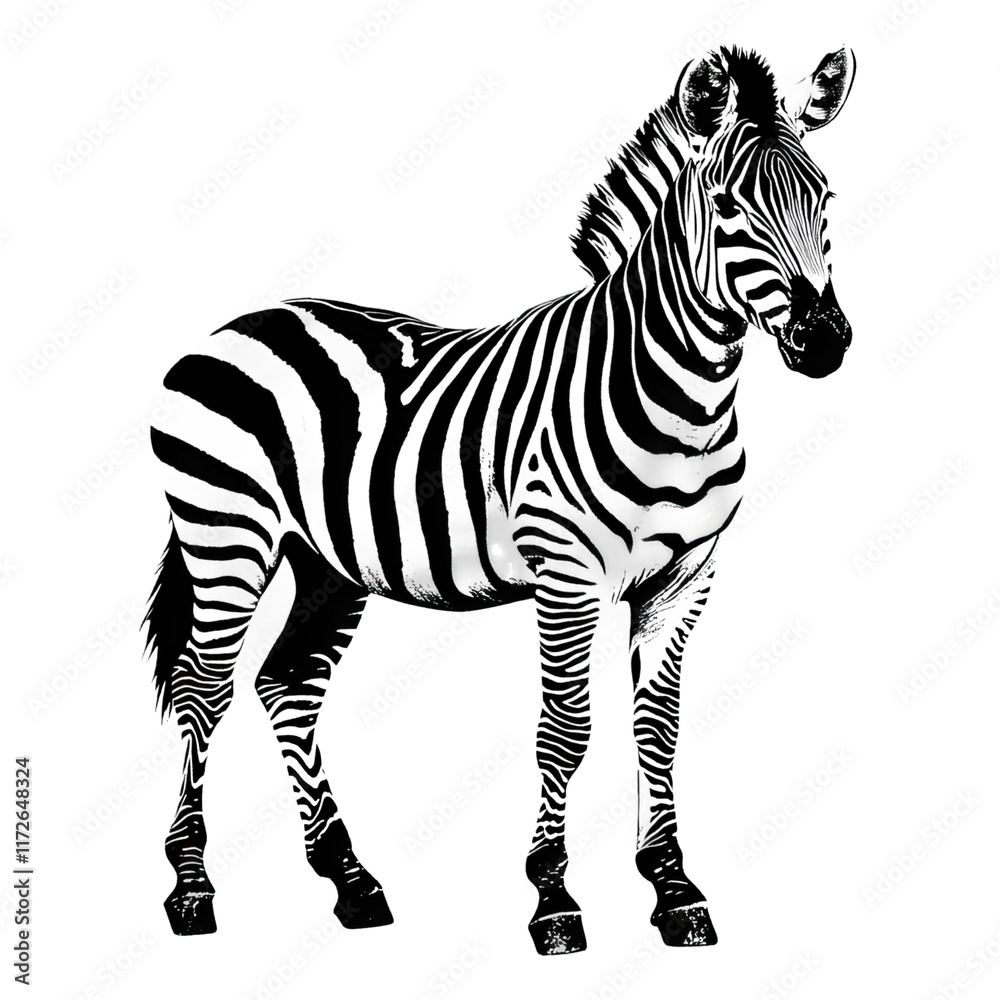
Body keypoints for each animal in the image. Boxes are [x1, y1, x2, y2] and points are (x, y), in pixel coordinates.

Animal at [143, 45, 856, 955]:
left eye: (824, 197)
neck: (674, 396)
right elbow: (567, 728)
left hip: (324, 560)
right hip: (227, 532)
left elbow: (657, 726)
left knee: (286, 682)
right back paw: (192, 889)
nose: (824, 342)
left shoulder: (685, 577)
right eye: (730, 206)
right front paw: (553, 899)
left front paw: (674, 889)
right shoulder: (566, 571)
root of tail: (237, 322)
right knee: (203, 690)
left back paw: (351, 881)